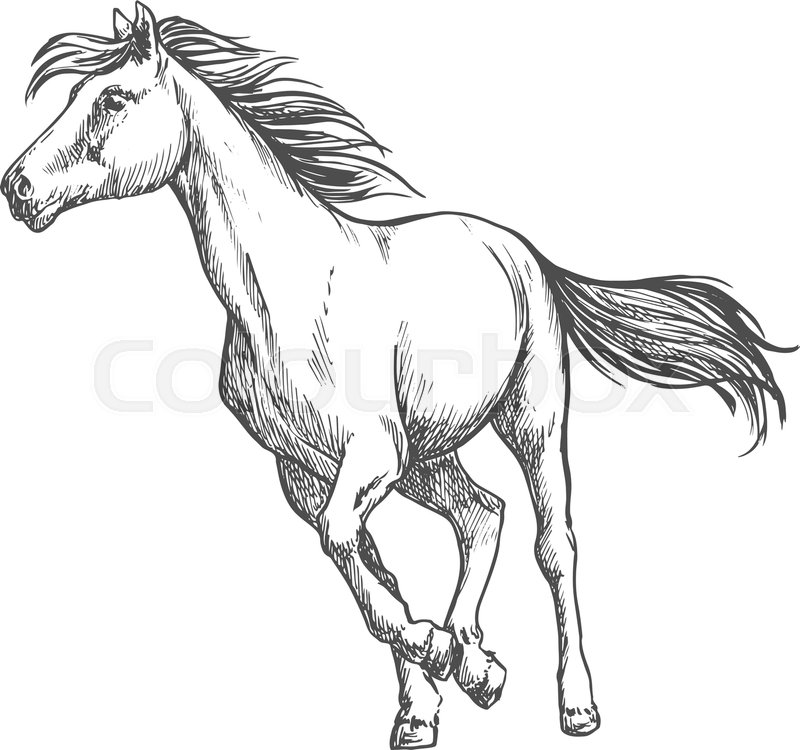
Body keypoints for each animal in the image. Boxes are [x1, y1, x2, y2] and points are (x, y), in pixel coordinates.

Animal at [2, 4, 793, 748]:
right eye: (73, 93)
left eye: (112, 99)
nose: (17, 188)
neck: (283, 293)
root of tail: (526, 252)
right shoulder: (309, 473)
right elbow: (365, 566)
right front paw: (429, 694)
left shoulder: (371, 453)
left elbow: (351, 548)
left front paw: (442, 657)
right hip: (428, 455)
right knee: (482, 514)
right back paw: (475, 659)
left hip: (529, 423)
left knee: (553, 545)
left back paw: (574, 704)